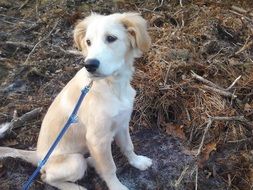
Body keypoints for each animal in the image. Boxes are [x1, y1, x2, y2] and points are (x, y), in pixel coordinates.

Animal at [0, 12, 152, 189]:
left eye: (111, 38)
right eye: (88, 42)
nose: (89, 65)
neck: (111, 85)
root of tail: (38, 157)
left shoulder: (122, 123)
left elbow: (128, 146)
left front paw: (137, 161)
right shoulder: (96, 139)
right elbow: (109, 167)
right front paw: (117, 186)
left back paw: (92, 161)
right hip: (74, 161)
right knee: (47, 178)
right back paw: (76, 186)